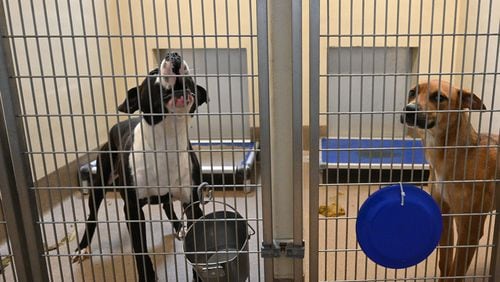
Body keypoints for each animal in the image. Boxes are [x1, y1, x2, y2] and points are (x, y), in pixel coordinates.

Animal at [72, 52, 207, 280]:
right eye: (152, 73)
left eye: (189, 75)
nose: (174, 55)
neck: (167, 139)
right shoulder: (133, 210)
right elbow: (140, 251)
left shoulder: (193, 202)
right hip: (99, 184)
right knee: (92, 217)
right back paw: (82, 247)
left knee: (166, 204)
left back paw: (178, 226)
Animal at [400, 80, 498, 282]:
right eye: (412, 92)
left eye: (439, 97)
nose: (409, 109)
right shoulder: (445, 214)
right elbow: (445, 261)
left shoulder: (470, 228)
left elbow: (456, 269)